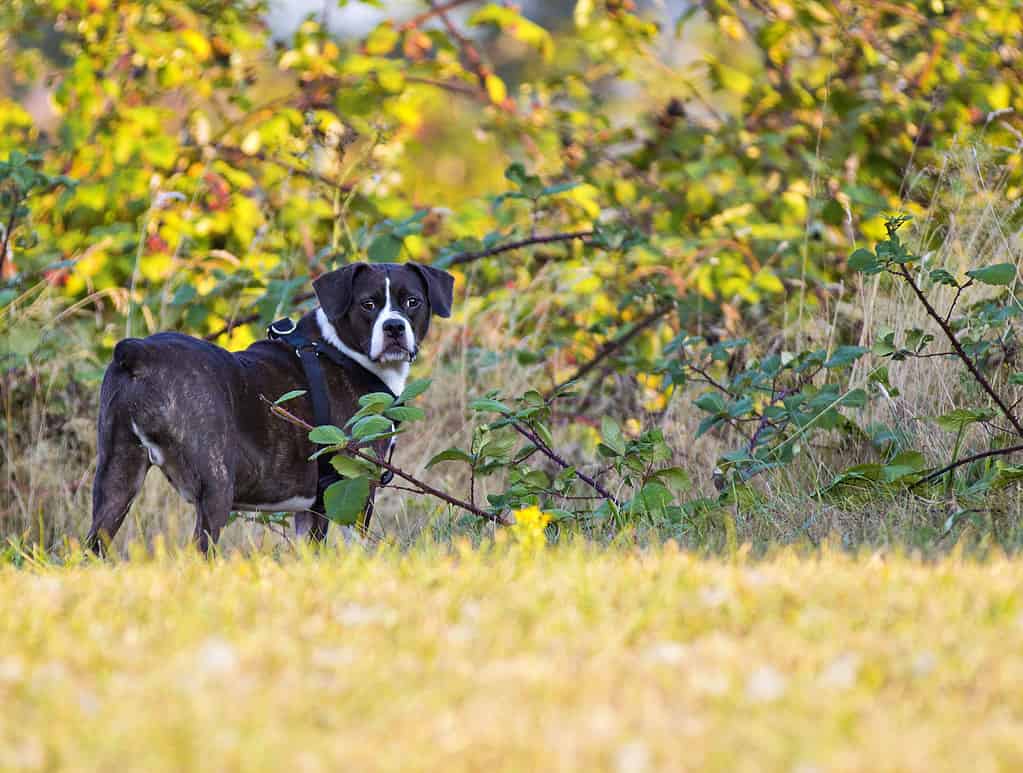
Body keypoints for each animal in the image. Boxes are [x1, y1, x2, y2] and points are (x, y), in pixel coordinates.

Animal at [85, 261, 454, 552]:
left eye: (412, 302)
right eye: (368, 304)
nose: (394, 326)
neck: (341, 351)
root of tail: (137, 351)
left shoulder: (311, 509)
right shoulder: (356, 486)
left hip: (116, 478)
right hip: (216, 488)